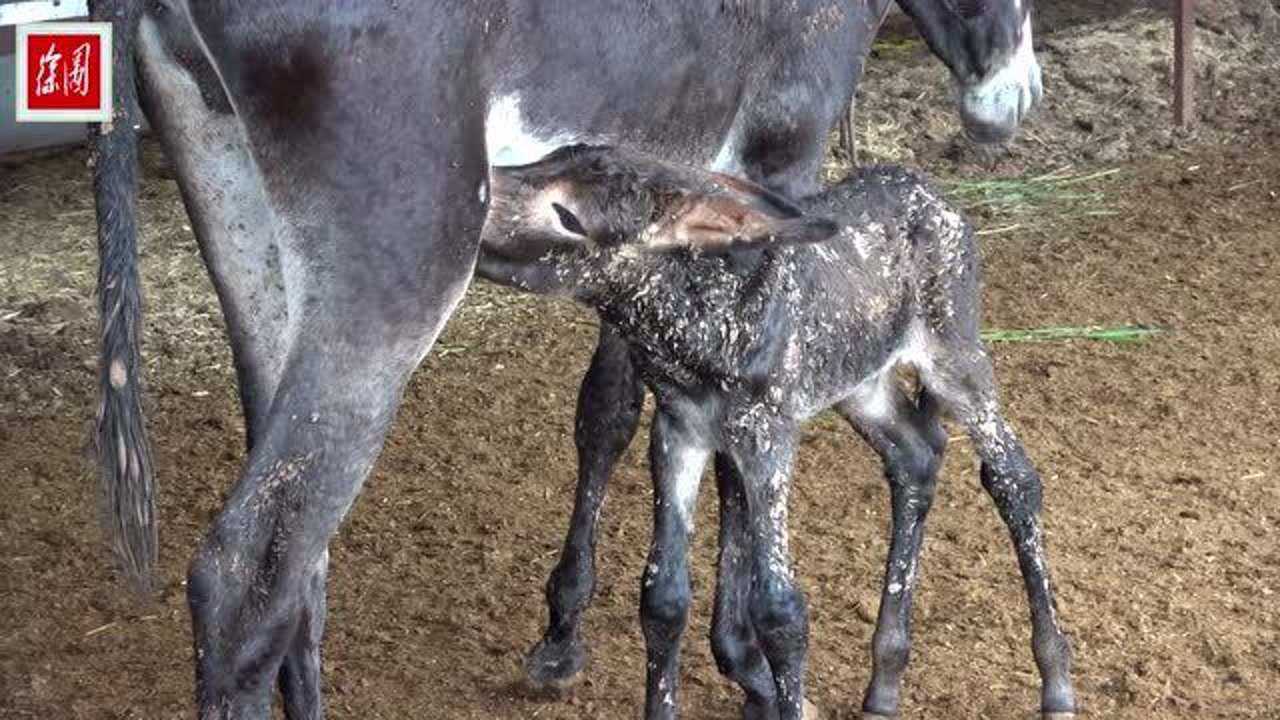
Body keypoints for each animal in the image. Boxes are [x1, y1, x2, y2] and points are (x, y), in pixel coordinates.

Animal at [481, 146, 1080, 717]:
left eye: (569, 216)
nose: (478, 195)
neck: (701, 327)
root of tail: (934, 194)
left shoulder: (766, 433)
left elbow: (779, 609)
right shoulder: (680, 428)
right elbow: (663, 598)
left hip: (955, 353)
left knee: (1014, 477)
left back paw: (1056, 684)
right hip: (861, 384)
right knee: (917, 453)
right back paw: (885, 683)